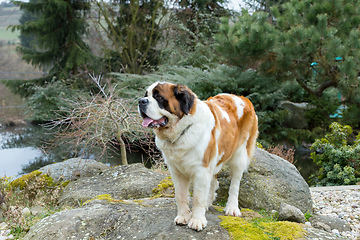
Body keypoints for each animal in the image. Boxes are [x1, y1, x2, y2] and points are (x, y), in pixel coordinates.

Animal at [139, 82, 258, 231]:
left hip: (239, 155)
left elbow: (197, 197)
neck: (182, 130)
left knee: (235, 184)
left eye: (158, 97)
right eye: (146, 95)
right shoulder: (176, 171)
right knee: (213, 181)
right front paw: (183, 216)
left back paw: (232, 208)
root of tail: (243, 98)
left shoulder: (201, 169)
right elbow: (180, 195)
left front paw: (197, 220)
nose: (141, 101)